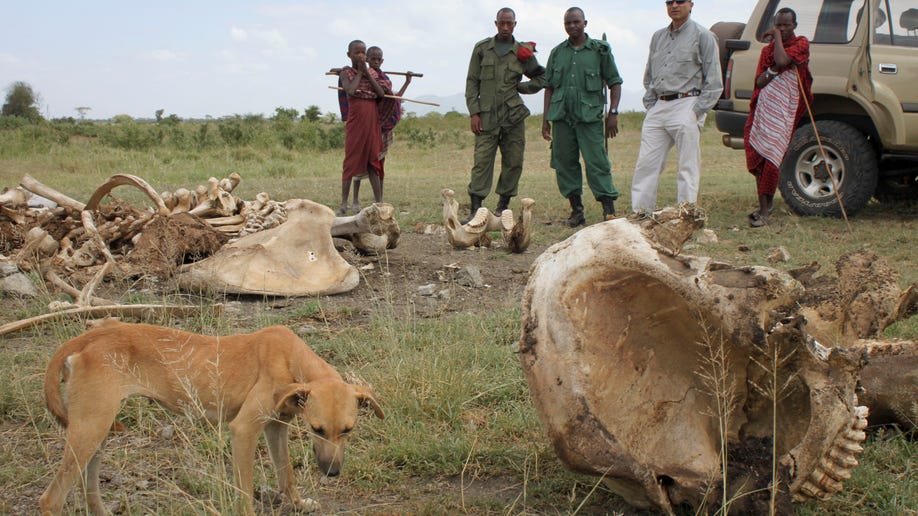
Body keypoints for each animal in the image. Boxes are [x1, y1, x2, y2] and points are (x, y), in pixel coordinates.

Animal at [38, 320, 384, 512]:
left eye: (348, 430)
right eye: (317, 429)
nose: (332, 473)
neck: (291, 359)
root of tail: (88, 337)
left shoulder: (276, 428)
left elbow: (286, 475)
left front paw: (298, 505)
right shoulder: (243, 430)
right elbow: (245, 492)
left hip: (97, 431)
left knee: (88, 487)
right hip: (89, 430)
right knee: (51, 499)